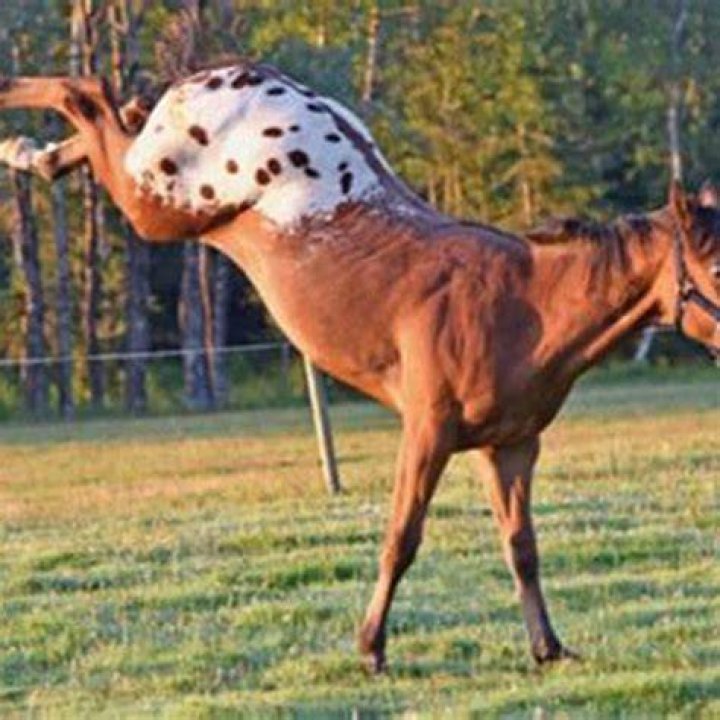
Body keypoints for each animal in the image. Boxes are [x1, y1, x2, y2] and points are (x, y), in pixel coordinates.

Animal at [0, 60, 717, 673]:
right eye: (713, 266)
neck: (521, 305)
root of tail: (238, 73)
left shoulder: (511, 447)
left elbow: (523, 548)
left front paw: (548, 648)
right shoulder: (427, 434)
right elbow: (403, 538)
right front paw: (371, 648)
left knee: (106, 116)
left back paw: (30, 152)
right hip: (157, 205)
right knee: (86, 95)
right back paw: (17, 118)